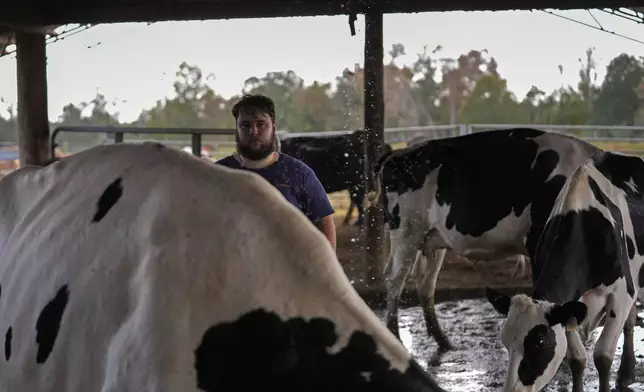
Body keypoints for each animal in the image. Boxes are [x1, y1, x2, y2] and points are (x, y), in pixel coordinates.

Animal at [364, 129, 600, 362]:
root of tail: (397, 154)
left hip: (431, 238)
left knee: (425, 284)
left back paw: (442, 340)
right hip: (407, 232)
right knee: (394, 279)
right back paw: (395, 337)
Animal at [488, 149, 644, 392]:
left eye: (540, 342)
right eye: (505, 341)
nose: (512, 390)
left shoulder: (621, 293)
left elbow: (603, 356)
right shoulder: (566, 306)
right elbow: (576, 359)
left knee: (628, 323)